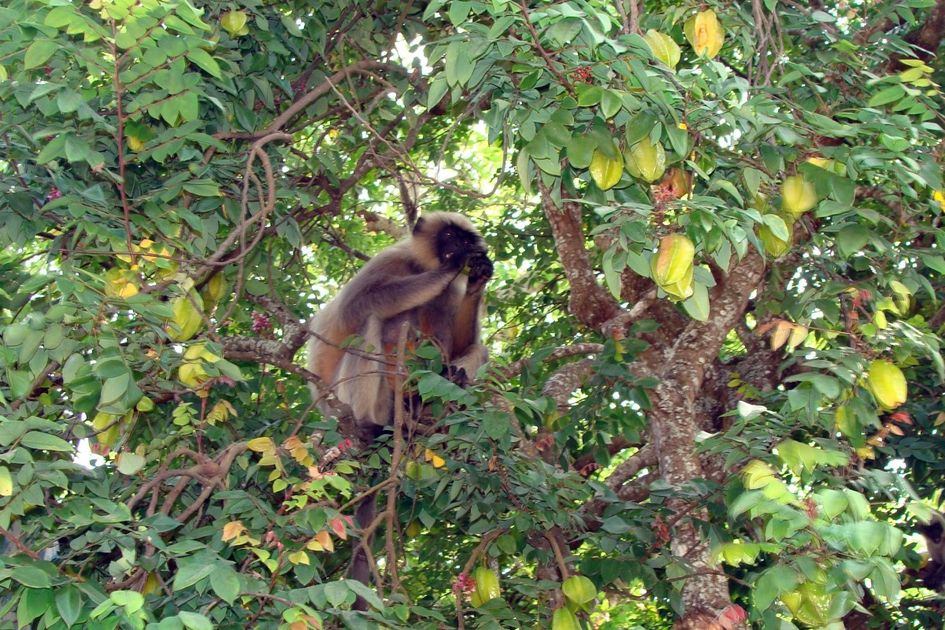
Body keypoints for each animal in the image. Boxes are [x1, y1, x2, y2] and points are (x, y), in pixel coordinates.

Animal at [306, 214, 494, 608]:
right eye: (450, 236)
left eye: (467, 238)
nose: (462, 249)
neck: (420, 266)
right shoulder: (388, 262)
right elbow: (357, 307)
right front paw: (453, 267)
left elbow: (464, 343)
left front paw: (478, 278)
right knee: (371, 319)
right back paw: (369, 425)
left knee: (465, 343)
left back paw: (439, 398)